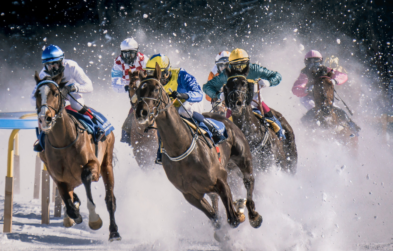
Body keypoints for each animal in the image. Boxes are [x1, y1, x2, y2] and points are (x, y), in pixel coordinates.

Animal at [33, 72, 120, 241]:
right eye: (36, 94)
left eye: (55, 93)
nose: (44, 118)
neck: (63, 142)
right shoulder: (58, 177)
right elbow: (69, 202)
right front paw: (74, 214)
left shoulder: (93, 165)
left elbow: (86, 177)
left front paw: (94, 219)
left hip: (107, 164)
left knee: (110, 200)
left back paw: (114, 232)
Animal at [130, 63, 262, 231]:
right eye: (138, 90)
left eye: (156, 88)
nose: (141, 112)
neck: (181, 148)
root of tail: (226, 118)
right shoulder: (190, 195)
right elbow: (215, 218)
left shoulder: (220, 179)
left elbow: (233, 218)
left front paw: (239, 211)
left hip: (243, 157)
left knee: (249, 180)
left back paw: (253, 215)